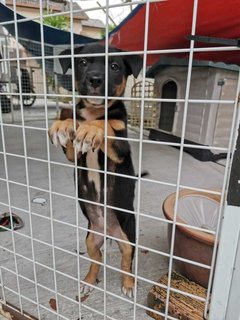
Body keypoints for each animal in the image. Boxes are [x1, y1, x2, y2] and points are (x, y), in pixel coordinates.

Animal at [48, 42, 142, 298]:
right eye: (82, 62)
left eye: (115, 66)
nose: (95, 79)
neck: (93, 111)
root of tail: (109, 233)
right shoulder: (73, 155)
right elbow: (72, 127)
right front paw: (63, 124)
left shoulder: (121, 148)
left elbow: (106, 124)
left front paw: (92, 129)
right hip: (91, 238)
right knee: (96, 259)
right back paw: (88, 282)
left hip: (128, 238)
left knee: (127, 262)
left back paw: (128, 285)